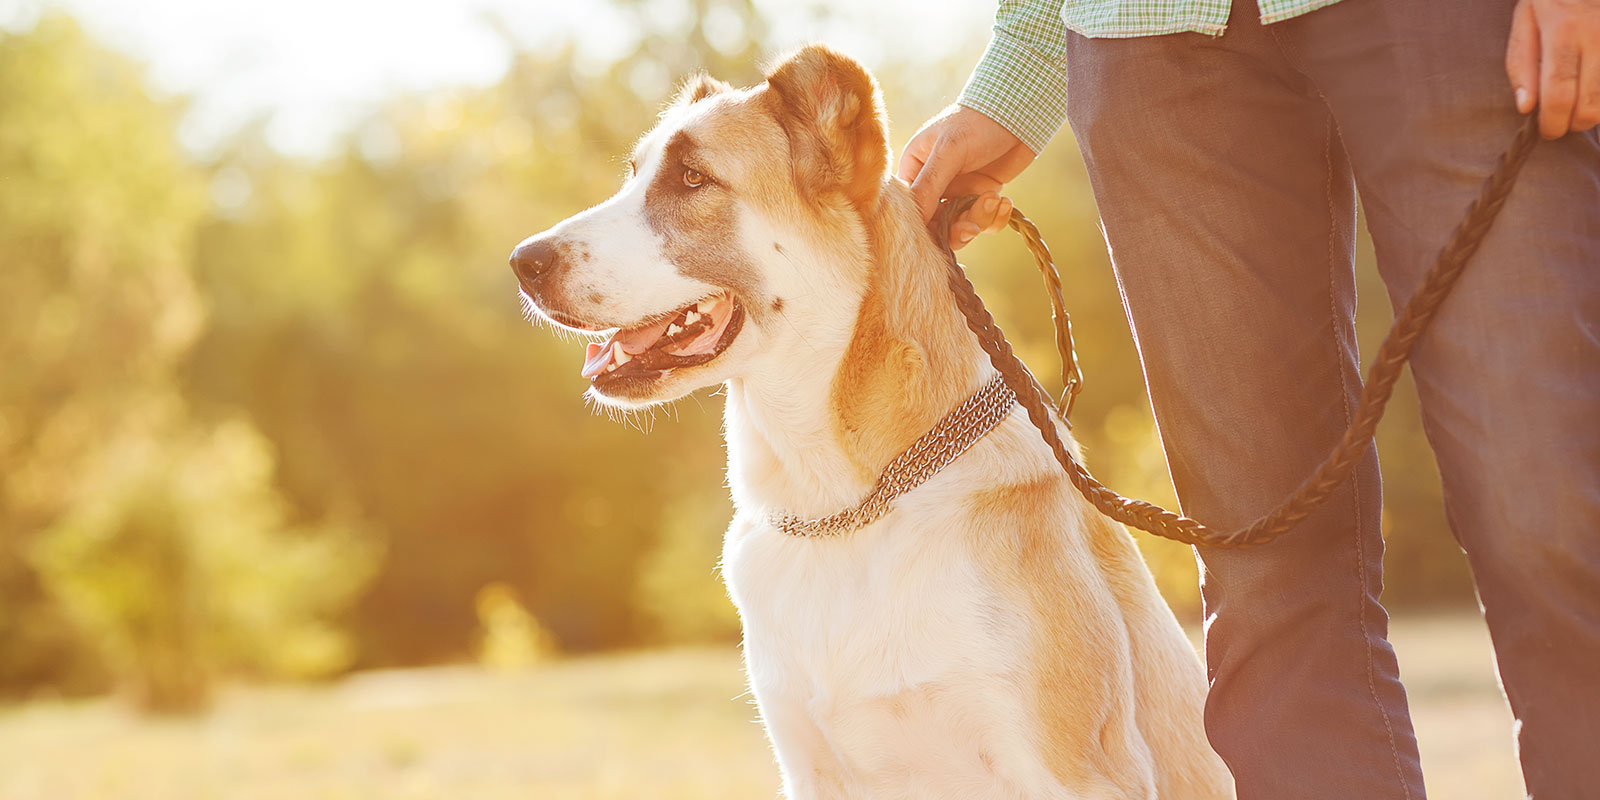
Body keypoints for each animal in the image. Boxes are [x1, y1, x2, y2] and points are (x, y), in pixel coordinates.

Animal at [512, 45, 1235, 800]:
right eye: (634, 174)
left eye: (692, 178)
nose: (522, 263)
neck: (842, 509)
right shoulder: (809, 768)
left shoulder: (1073, 773)